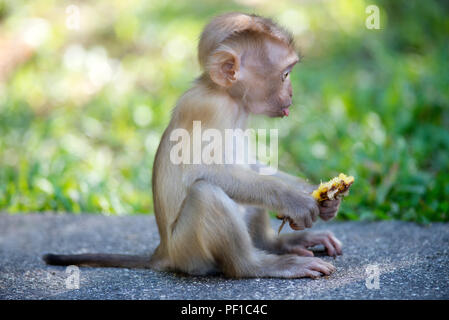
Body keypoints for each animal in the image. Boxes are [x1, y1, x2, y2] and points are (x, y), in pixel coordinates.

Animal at [43, 11, 342, 278]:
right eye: (285, 75)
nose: (291, 94)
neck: (228, 97)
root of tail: (164, 251)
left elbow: (251, 165)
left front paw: (316, 193)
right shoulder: (209, 109)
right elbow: (203, 172)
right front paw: (293, 199)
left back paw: (277, 244)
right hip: (188, 250)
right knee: (205, 193)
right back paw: (258, 265)